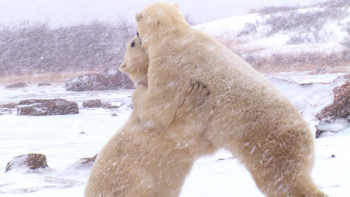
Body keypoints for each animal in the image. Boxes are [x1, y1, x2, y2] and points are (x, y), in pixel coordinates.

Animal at [84, 35, 216, 197]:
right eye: (132, 43)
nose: (138, 35)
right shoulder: (159, 131)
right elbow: (183, 133)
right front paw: (197, 95)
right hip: (129, 179)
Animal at [135, 1, 328, 197]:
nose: (136, 36)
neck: (173, 34)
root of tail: (306, 133)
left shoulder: (170, 66)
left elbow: (158, 107)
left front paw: (138, 94)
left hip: (269, 145)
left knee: (282, 180)